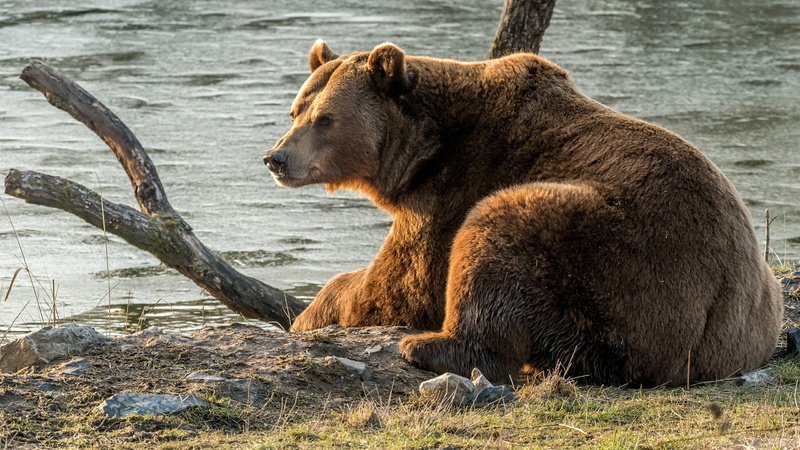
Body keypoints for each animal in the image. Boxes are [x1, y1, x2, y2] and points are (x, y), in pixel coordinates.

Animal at [263, 39, 783, 386]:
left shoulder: (451, 187)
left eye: (325, 119)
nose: (276, 158)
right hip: (755, 300)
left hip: (626, 261)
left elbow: (401, 283)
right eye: (296, 110)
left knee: (497, 230)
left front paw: (310, 312)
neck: (419, 153)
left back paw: (428, 346)